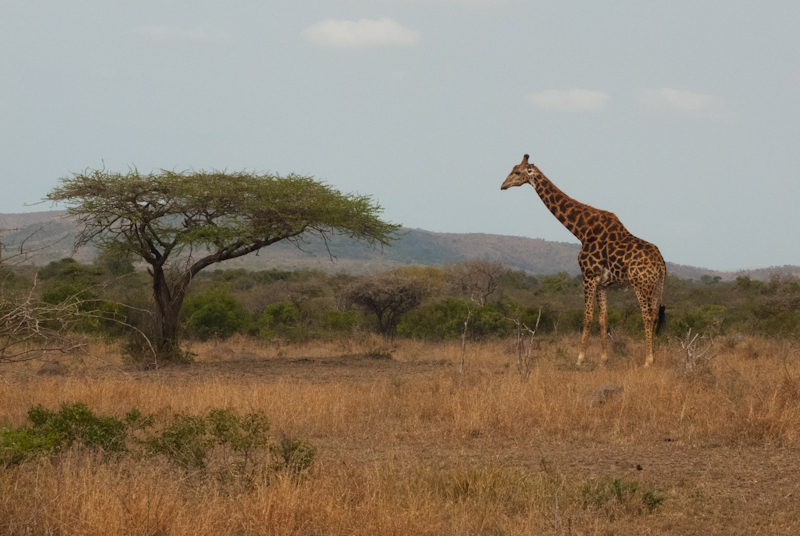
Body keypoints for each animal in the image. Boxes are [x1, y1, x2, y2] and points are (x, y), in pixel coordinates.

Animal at [501, 155, 666, 367]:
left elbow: (587, 317)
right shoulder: (603, 283)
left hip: (641, 284)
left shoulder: (588, 274)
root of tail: (661, 263)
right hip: (655, 285)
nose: (503, 185)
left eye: (517, 172)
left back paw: (648, 360)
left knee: (647, 316)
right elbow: (603, 318)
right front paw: (604, 359)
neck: (582, 230)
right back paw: (654, 357)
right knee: (654, 315)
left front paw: (580, 358)